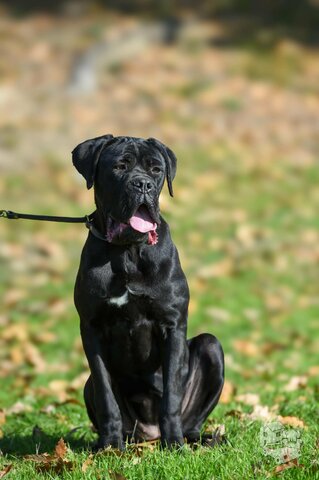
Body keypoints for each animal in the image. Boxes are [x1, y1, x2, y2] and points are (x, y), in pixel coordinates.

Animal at [72, 134, 225, 450]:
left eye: (156, 170)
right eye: (120, 166)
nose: (143, 184)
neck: (128, 252)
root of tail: (148, 435)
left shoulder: (172, 324)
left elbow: (171, 396)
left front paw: (174, 444)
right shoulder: (91, 329)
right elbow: (106, 393)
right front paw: (109, 445)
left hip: (212, 347)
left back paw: (195, 439)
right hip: (88, 385)